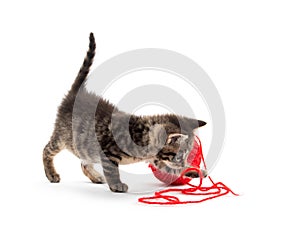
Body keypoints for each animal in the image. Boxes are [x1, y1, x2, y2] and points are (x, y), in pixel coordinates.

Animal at [42, 33, 206, 192]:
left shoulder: (158, 159)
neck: (143, 136)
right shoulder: (108, 151)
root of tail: (75, 95)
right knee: (46, 150)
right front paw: (116, 185)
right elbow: (112, 170)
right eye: (179, 156)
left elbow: (173, 170)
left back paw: (95, 177)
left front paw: (194, 170)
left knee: (84, 162)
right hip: (62, 137)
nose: (183, 162)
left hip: (84, 147)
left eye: (187, 155)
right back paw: (51, 174)